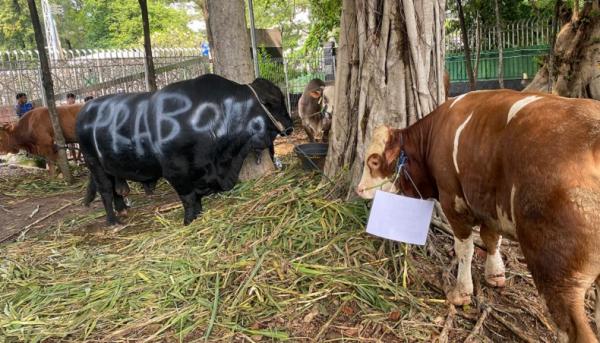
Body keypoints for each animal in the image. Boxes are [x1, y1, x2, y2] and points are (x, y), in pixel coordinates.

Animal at [77, 74, 292, 227]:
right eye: (274, 102)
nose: (290, 126)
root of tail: (86, 108)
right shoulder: (175, 171)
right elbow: (188, 198)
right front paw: (189, 220)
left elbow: (196, 199)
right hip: (93, 162)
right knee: (106, 190)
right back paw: (113, 221)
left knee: (115, 189)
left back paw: (122, 210)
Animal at [356, 90, 600, 342]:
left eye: (374, 160)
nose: (359, 189)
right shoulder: (488, 202)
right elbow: (491, 238)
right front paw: (495, 274)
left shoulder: (453, 201)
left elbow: (465, 248)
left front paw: (461, 292)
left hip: (556, 273)